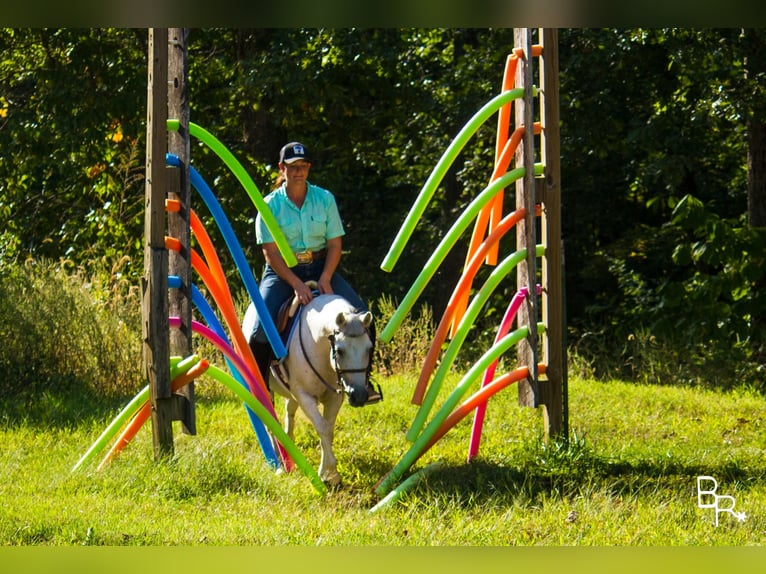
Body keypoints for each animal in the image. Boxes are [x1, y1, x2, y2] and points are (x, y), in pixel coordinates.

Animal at [243, 292, 376, 486]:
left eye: (369, 348)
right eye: (339, 350)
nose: (358, 396)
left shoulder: (334, 398)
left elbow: (328, 430)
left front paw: (332, 474)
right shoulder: (305, 397)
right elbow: (322, 427)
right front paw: (327, 472)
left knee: (289, 413)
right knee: (269, 421)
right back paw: (278, 463)